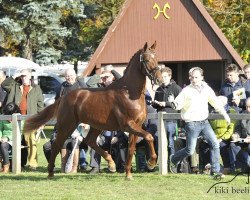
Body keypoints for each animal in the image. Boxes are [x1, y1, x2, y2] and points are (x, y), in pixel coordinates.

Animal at [24, 41, 163, 179]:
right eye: (146, 60)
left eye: (156, 59)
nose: (159, 80)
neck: (128, 93)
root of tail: (64, 97)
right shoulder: (128, 125)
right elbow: (149, 136)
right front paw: (151, 163)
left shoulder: (136, 126)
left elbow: (131, 148)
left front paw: (128, 174)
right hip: (67, 125)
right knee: (57, 145)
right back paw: (50, 173)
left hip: (96, 126)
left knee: (89, 141)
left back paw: (111, 164)